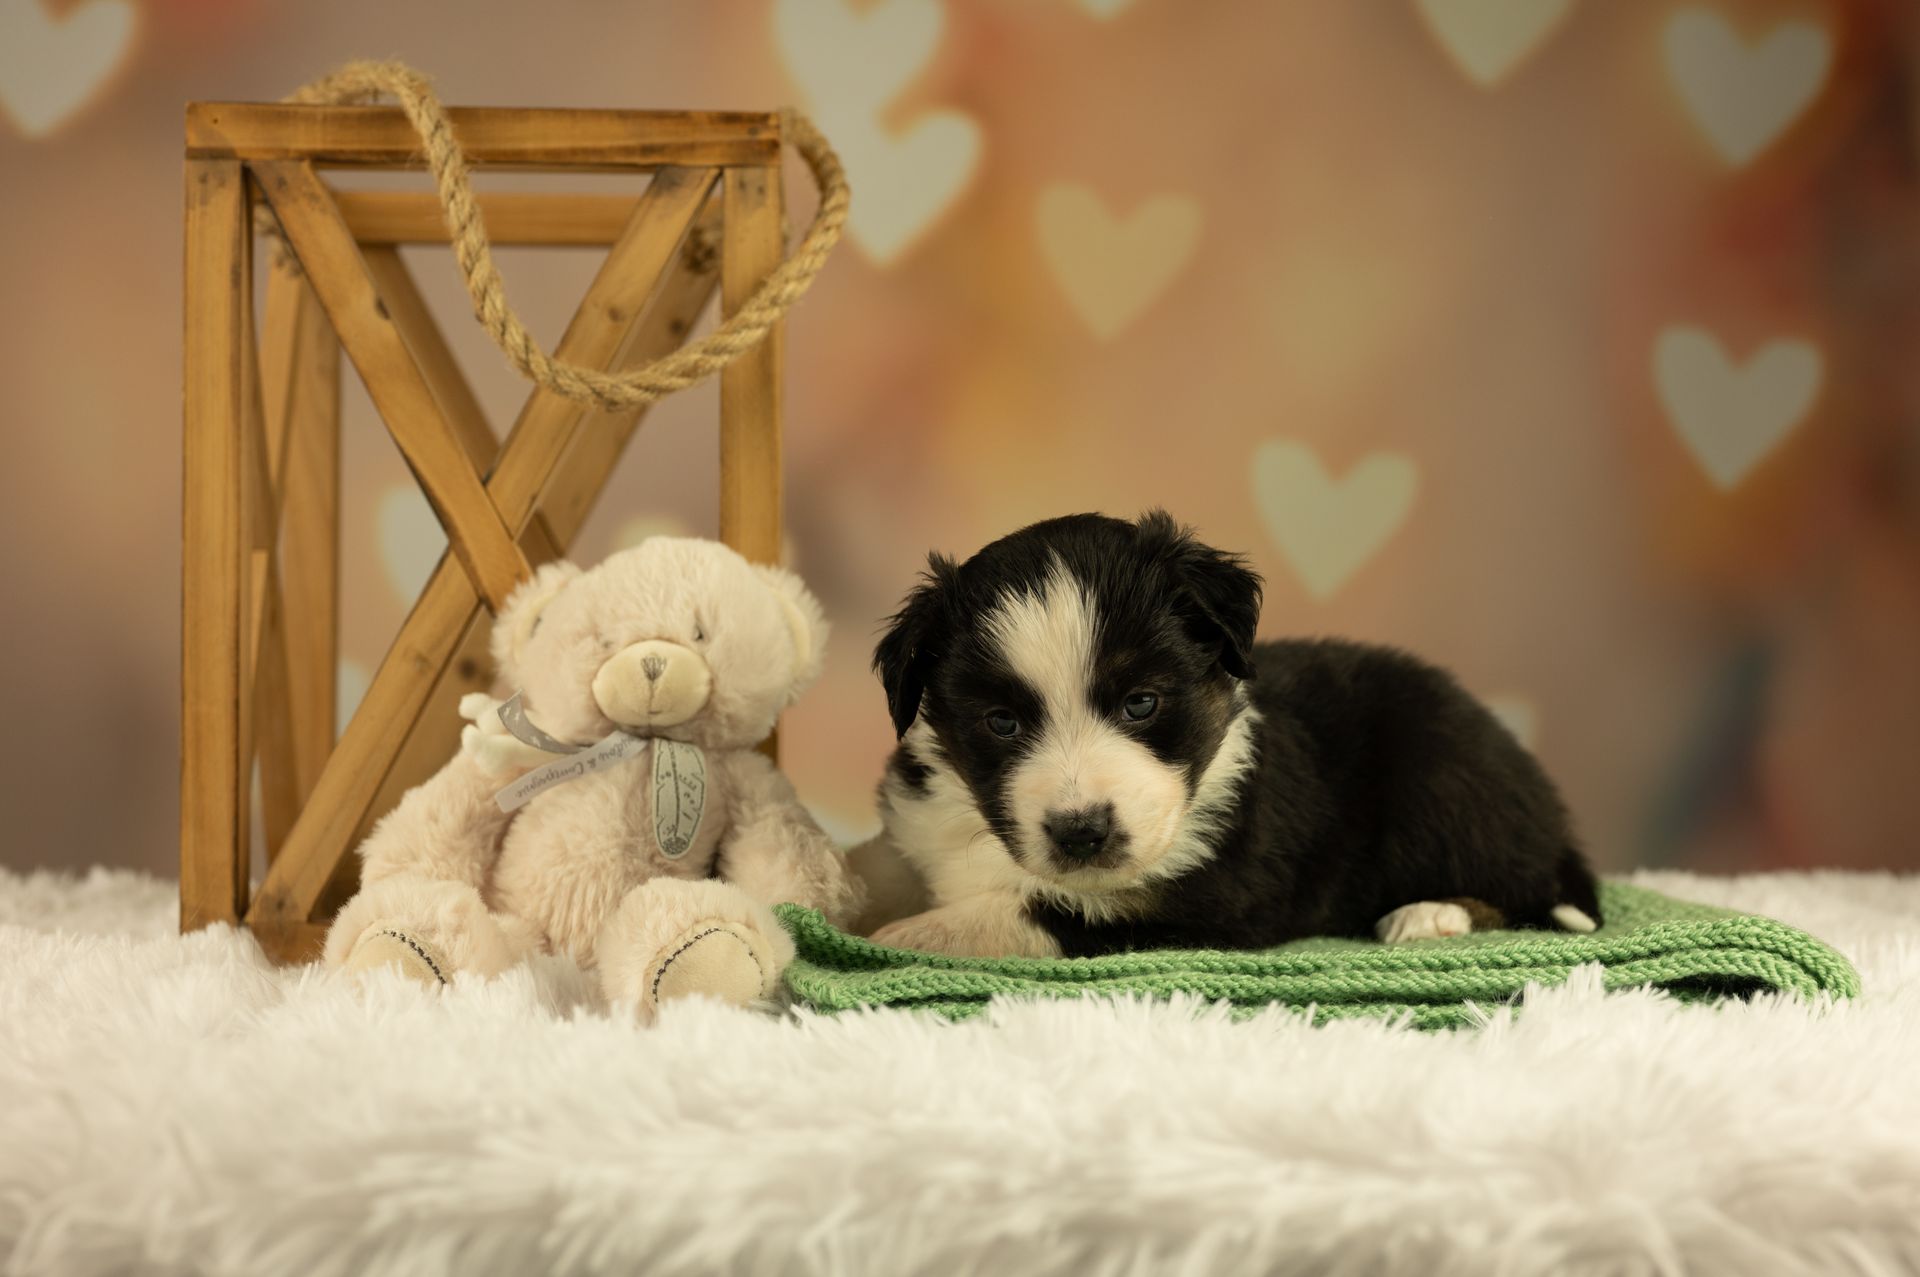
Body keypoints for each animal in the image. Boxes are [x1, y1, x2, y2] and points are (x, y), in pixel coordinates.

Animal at [850, 510, 1603, 959]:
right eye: (1000, 722)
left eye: (1142, 703)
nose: (1081, 832)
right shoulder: (918, 815)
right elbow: (877, 862)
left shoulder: (1212, 893)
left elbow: (1039, 909)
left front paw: (909, 935)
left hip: (1442, 771)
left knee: (1527, 891)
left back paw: (1429, 914)